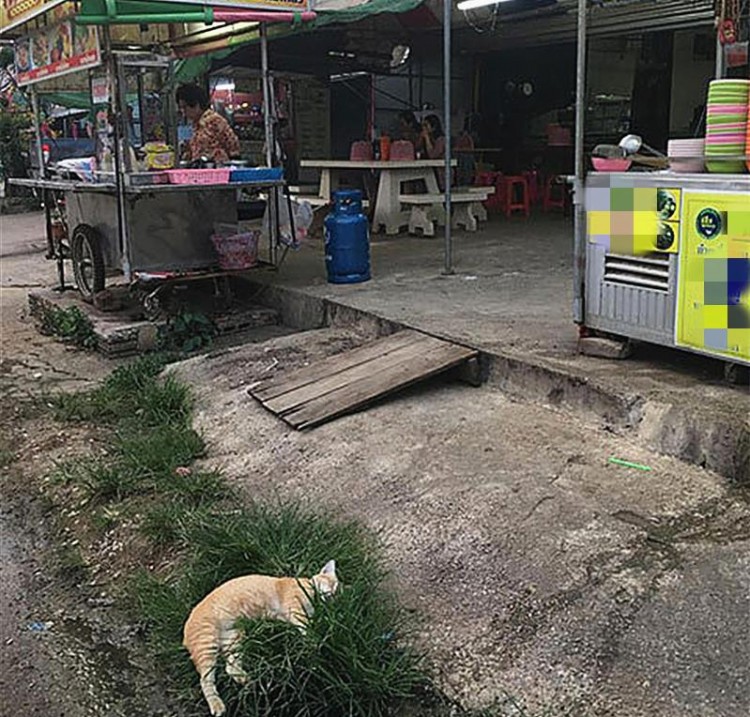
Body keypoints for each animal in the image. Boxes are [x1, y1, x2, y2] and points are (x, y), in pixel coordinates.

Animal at [185, 560, 340, 716]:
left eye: (337, 589)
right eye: (331, 583)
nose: (333, 595)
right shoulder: (295, 608)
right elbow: (307, 626)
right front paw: (315, 639)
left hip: (235, 637)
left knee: (230, 668)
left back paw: (247, 680)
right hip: (207, 642)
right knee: (205, 679)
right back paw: (217, 705)